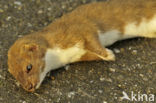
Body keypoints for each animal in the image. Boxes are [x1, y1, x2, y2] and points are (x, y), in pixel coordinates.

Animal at [7, 0, 156, 91]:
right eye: (16, 76)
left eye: (28, 67)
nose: (29, 87)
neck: (62, 56)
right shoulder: (79, 54)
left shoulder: (80, 27)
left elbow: (93, 40)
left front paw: (109, 54)